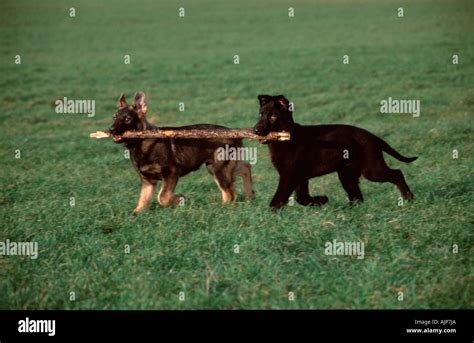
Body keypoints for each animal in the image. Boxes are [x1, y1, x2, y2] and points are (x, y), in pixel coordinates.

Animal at [108, 92, 256, 214]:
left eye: (127, 119)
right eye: (114, 117)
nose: (111, 130)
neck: (141, 143)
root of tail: (234, 132)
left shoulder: (171, 174)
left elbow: (162, 197)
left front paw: (179, 199)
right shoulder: (148, 181)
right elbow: (143, 200)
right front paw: (135, 214)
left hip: (219, 168)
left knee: (230, 193)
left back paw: (224, 208)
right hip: (218, 167)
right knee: (244, 169)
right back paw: (250, 194)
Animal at [254, 94, 416, 210]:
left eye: (273, 116)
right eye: (260, 114)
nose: (255, 130)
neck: (286, 139)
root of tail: (373, 136)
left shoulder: (289, 176)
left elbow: (278, 199)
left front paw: (271, 216)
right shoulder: (300, 177)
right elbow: (302, 198)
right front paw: (322, 200)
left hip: (371, 169)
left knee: (397, 173)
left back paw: (409, 198)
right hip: (347, 174)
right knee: (357, 197)